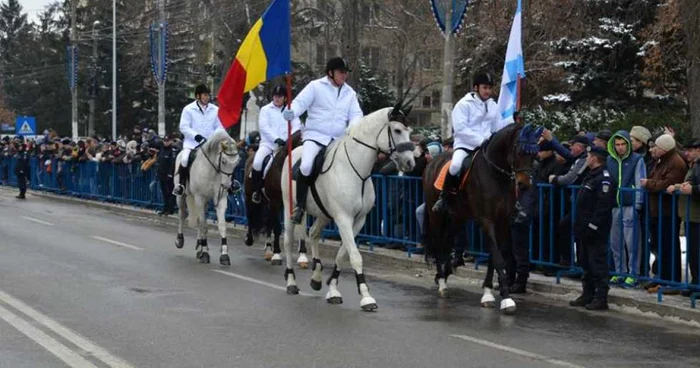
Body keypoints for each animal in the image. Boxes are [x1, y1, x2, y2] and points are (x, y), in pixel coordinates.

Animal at [174, 129, 241, 264]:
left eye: (237, 163)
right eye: (223, 161)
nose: (227, 185)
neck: (212, 170)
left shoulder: (220, 199)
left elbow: (221, 225)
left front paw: (224, 255)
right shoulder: (199, 197)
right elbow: (204, 225)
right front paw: (205, 253)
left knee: (199, 219)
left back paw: (200, 246)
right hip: (182, 197)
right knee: (182, 214)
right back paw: (180, 240)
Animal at [242, 131, 308, 266]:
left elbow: (301, 229)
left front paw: (303, 256)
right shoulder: (276, 201)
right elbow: (277, 227)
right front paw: (277, 254)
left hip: (267, 203)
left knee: (268, 221)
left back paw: (268, 250)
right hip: (249, 198)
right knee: (251, 216)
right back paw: (250, 239)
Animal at [282, 103, 416, 310]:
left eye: (410, 132)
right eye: (397, 130)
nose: (410, 163)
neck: (356, 171)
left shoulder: (358, 220)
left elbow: (342, 255)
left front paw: (333, 289)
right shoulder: (343, 219)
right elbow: (355, 256)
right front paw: (366, 296)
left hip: (324, 214)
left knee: (313, 234)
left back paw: (316, 276)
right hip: (289, 207)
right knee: (288, 242)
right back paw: (291, 283)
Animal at [422, 123, 540, 314]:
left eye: (535, 154)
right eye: (519, 151)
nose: (524, 184)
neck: (496, 175)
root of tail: (432, 161)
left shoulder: (503, 223)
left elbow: (494, 257)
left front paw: (488, 292)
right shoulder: (486, 221)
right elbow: (498, 258)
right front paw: (506, 299)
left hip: (458, 217)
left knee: (447, 241)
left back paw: (445, 275)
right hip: (436, 216)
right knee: (439, 243)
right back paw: (442, 283)